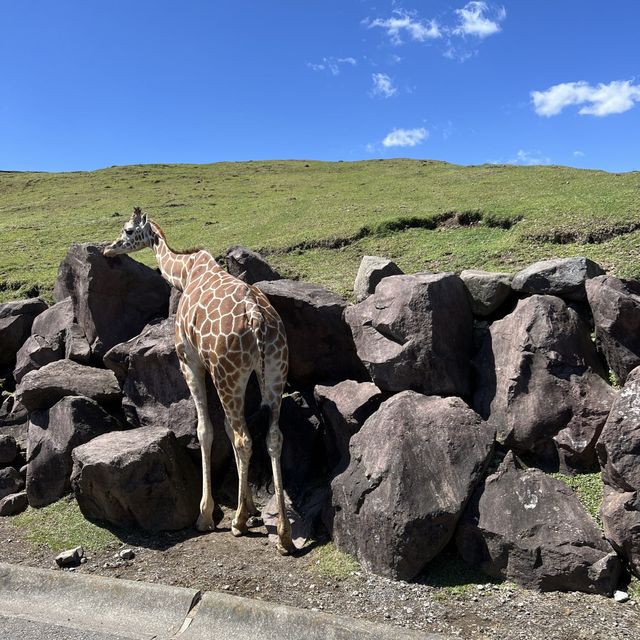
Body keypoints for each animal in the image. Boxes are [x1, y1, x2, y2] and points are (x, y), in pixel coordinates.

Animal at [104, 206, 294, 556]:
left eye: (127, 230)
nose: (109, 249)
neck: (185, 273)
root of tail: (258, 321)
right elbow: (228, 433)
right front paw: (251, 508)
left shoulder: (190, 360)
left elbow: (205, 430)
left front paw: (207, 514)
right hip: (274, 371)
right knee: (272, 437)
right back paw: (284, 536)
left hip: (227, 373)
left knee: (243, 438)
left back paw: (236, 524)